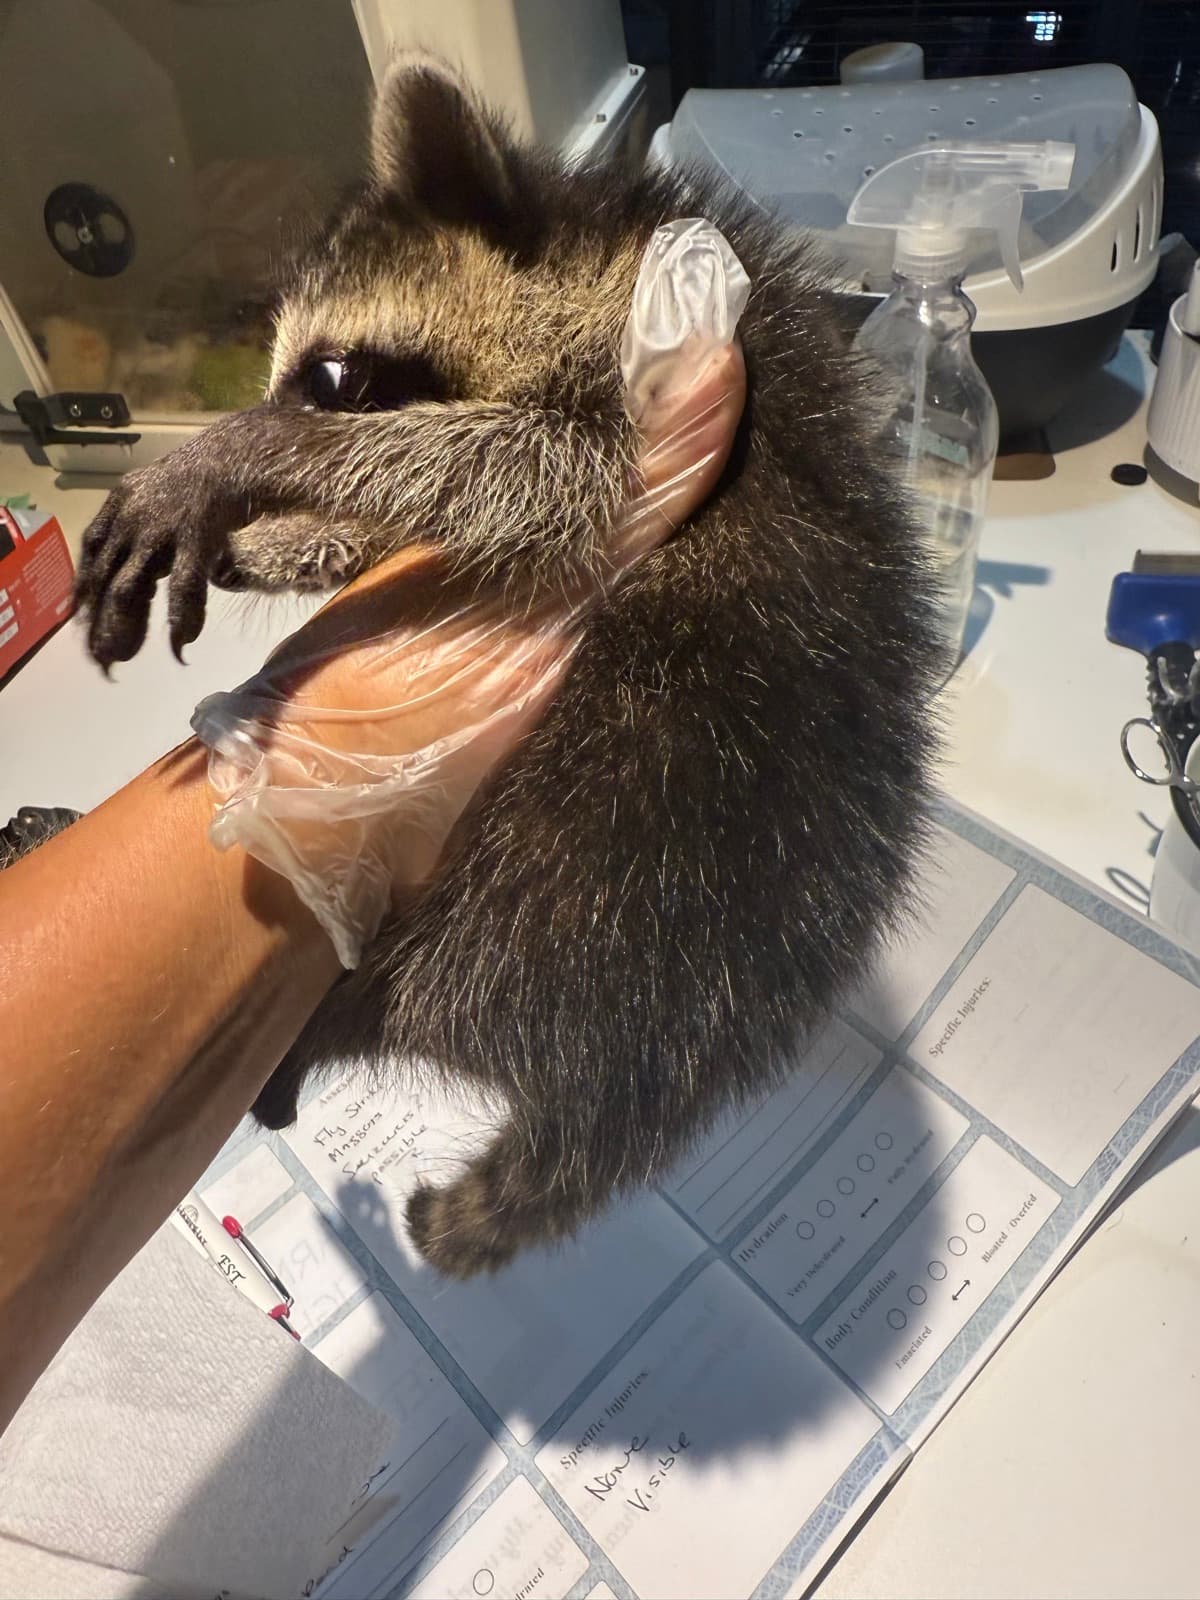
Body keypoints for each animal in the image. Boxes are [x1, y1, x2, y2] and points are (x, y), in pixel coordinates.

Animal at [74, 55, 941, 1277]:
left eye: (331, 379)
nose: (255, 445)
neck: (590, 241)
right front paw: (289, 535)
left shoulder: (652, 387)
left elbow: (535, 475)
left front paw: (250, 454)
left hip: (617, 836)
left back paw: (341, 1014)